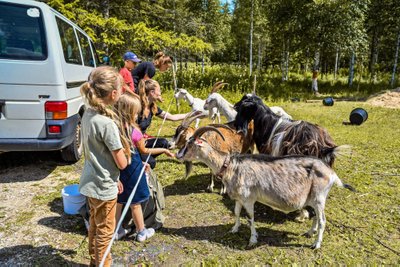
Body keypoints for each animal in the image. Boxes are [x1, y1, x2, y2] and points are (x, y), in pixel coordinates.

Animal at [177, 126, 354, 250]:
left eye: (190, 144)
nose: (178, 155)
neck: (230, 165)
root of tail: (331, 173)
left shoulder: (248, 198)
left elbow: (250, 217)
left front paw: (252, 240)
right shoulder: (239, 198)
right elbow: (236, 212)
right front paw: (234, 229)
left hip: (319, 196)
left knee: (323, 219)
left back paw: (316, 244)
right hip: (313, 198)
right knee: (316, 216)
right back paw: (310, 232)